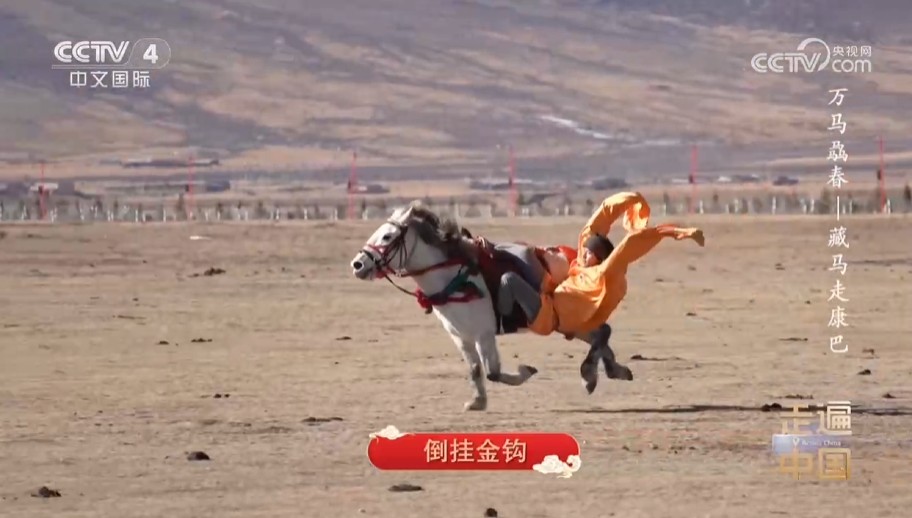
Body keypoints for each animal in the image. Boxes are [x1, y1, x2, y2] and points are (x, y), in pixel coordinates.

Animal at [349, 201, 629, 411]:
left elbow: (493, 372)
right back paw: (614, 370)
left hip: (564, 316)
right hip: (564, 321)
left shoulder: (484, 334)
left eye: (387, 236)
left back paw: (591, 375)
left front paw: (525, 370)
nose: (358, 264)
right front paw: (477, 401)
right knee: (599, 334)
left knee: (602, 332)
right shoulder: (461, 336)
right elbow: (475, 369)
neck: (454, 278)